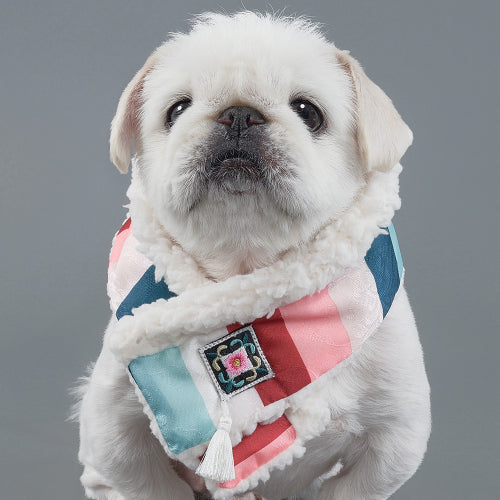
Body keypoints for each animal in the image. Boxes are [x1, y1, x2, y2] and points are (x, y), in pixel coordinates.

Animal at [76, 12, 431, 500]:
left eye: (308, 112)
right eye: (177, 110)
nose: (239, 113)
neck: (243, 270)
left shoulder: (395, 437)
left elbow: (351, 487)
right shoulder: (113, 430)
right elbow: (153, 485)